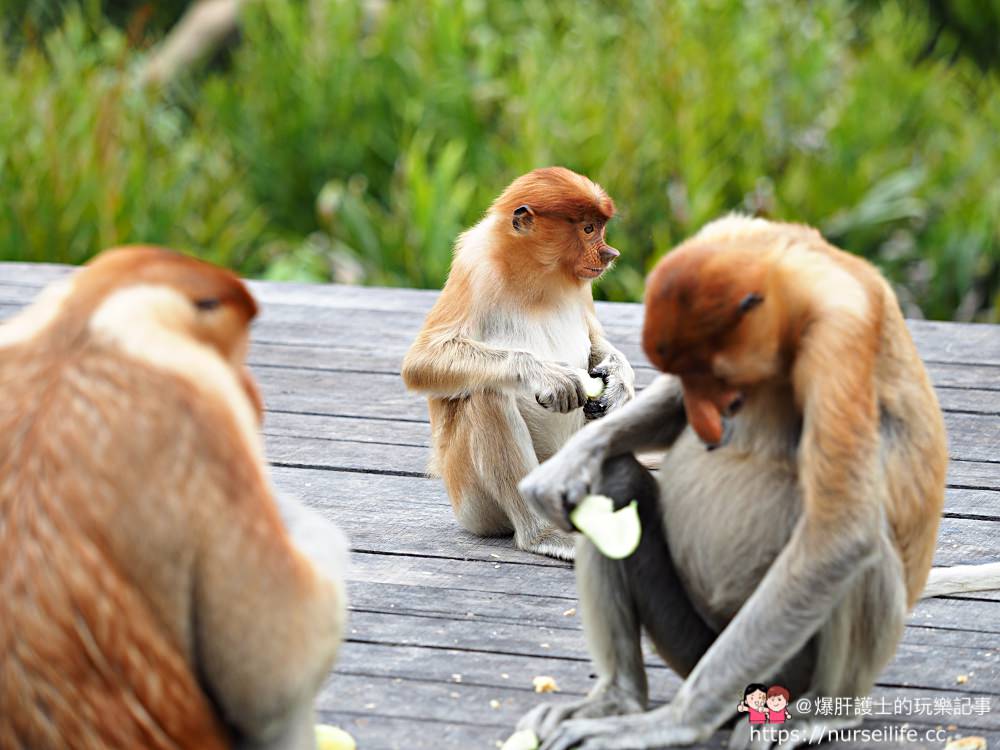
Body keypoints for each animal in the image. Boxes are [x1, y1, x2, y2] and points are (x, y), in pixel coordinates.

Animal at [402, 167, 636, 560]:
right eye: (588, 228)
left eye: (599, 228)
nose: (610, 253)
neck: (540, 275)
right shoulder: (474, 266)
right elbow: (423, 361)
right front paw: (546, 375)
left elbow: (595, 341)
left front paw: (619, 380)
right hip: (472, 504)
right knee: (487, 395)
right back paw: (543, 535)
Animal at [512, 214, 996, 748]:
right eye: (684, 374)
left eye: (713, 375)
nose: (709, 427)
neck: (791, 278)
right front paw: (565, 467)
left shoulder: (839, 335)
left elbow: (840, 533)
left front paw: (673, 722)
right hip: (694, 642)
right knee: (614, 484)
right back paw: (617, 699)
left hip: (790, 663)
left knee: (860, 554)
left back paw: (822, 711)